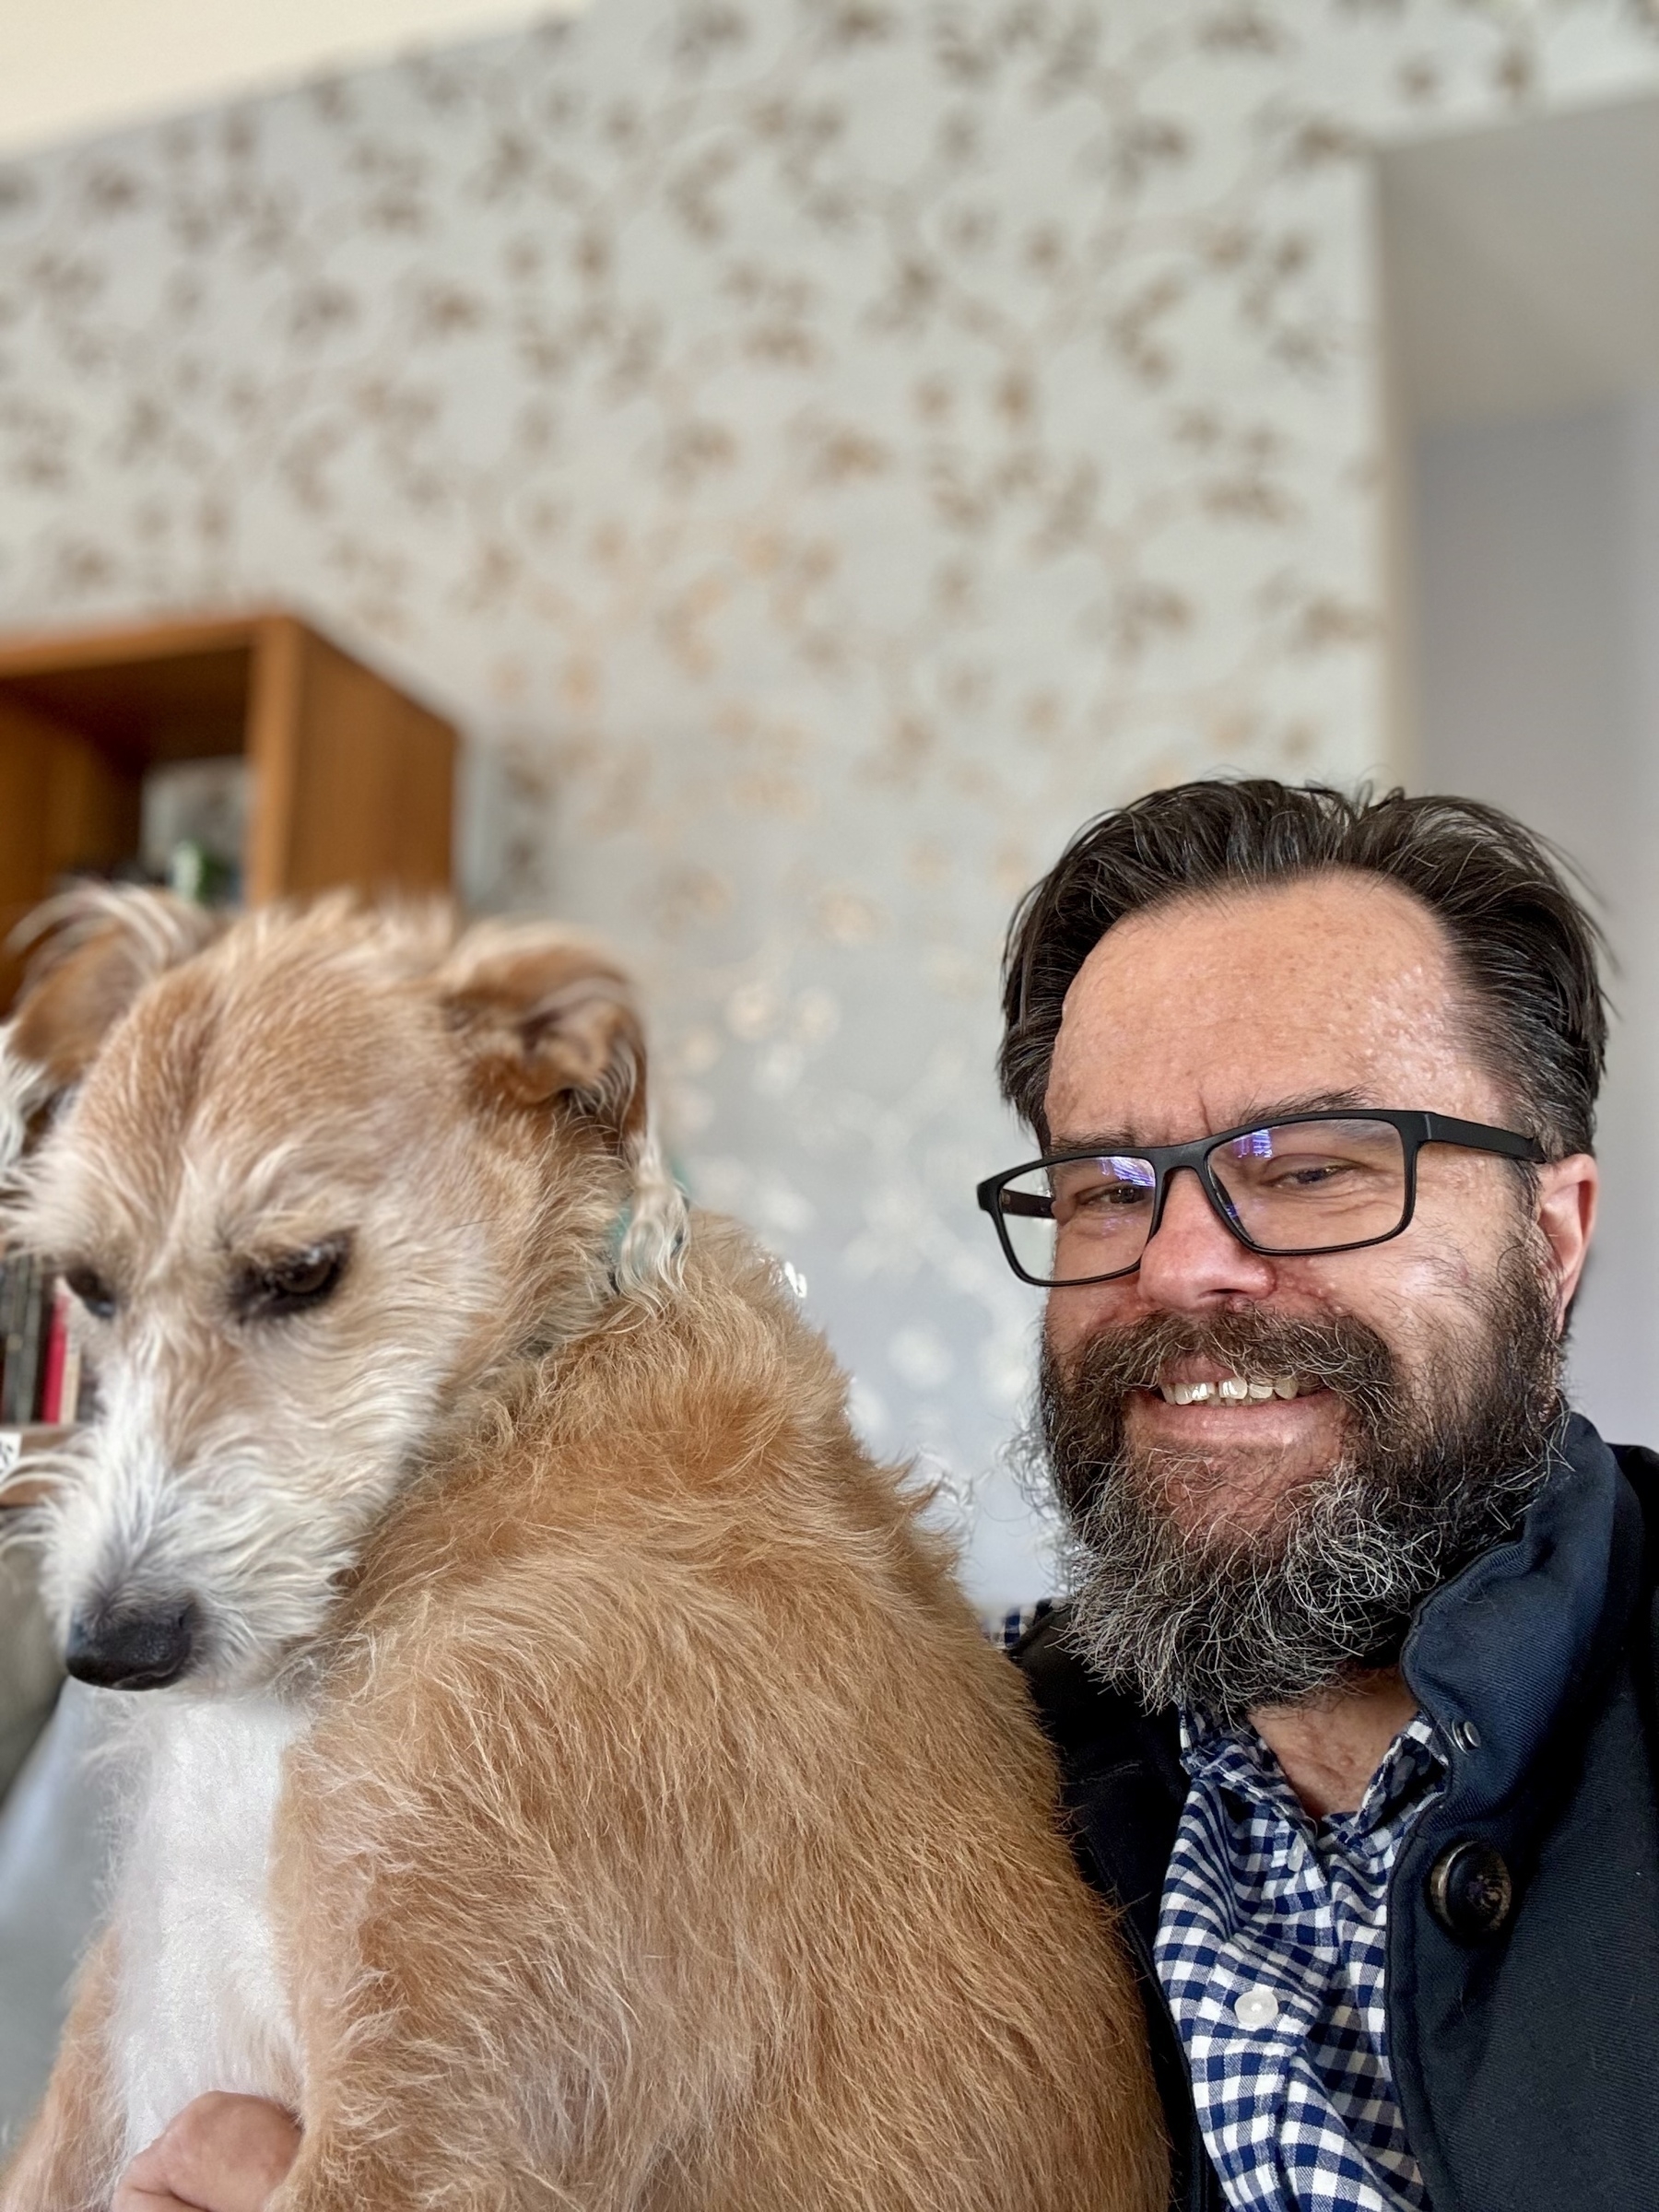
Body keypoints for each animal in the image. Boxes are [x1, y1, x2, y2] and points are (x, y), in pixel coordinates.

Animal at [0, 893, 1168, 2212]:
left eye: (301, 1273)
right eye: (85, 1284)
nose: (110, 1649)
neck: (516, 1400)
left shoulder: (426, 2139)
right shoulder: (127, 2004)